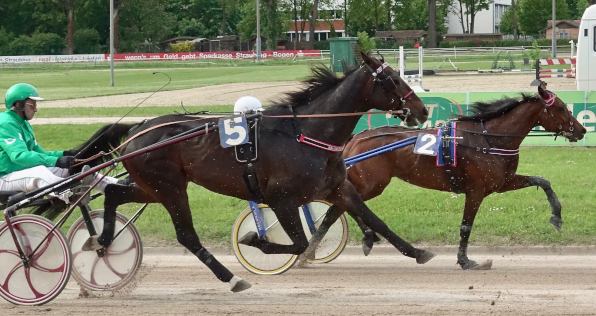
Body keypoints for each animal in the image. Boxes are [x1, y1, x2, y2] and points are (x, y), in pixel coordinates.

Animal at [302, 81, 588, 270]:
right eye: (560, 108)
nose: (582, 130)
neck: (488, 138)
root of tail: (356, 138)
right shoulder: (476, 191)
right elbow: (466, 226)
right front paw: (465, 261)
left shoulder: (502, 182)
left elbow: (543, 181)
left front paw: (557, 217)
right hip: (372, 183)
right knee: (340, 207)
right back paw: (316, 250)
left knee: (345, 205)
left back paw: (354, 242)